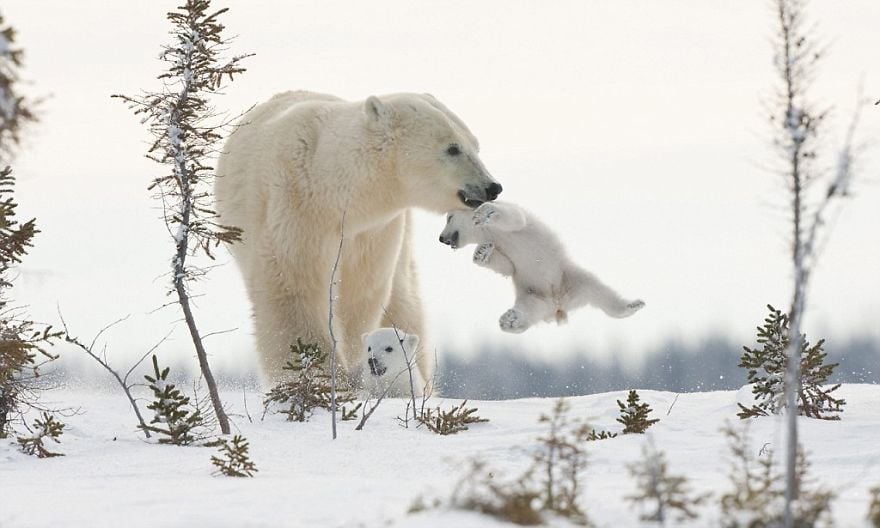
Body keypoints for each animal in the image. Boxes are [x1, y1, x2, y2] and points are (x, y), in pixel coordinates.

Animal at [215, 91, 502, 386]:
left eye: (475, 145)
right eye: (453, 148)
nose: (492, 187)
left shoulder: (374, 231)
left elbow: (359, 296)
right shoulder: (296, 208)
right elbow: (294, 287)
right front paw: (322, 375)